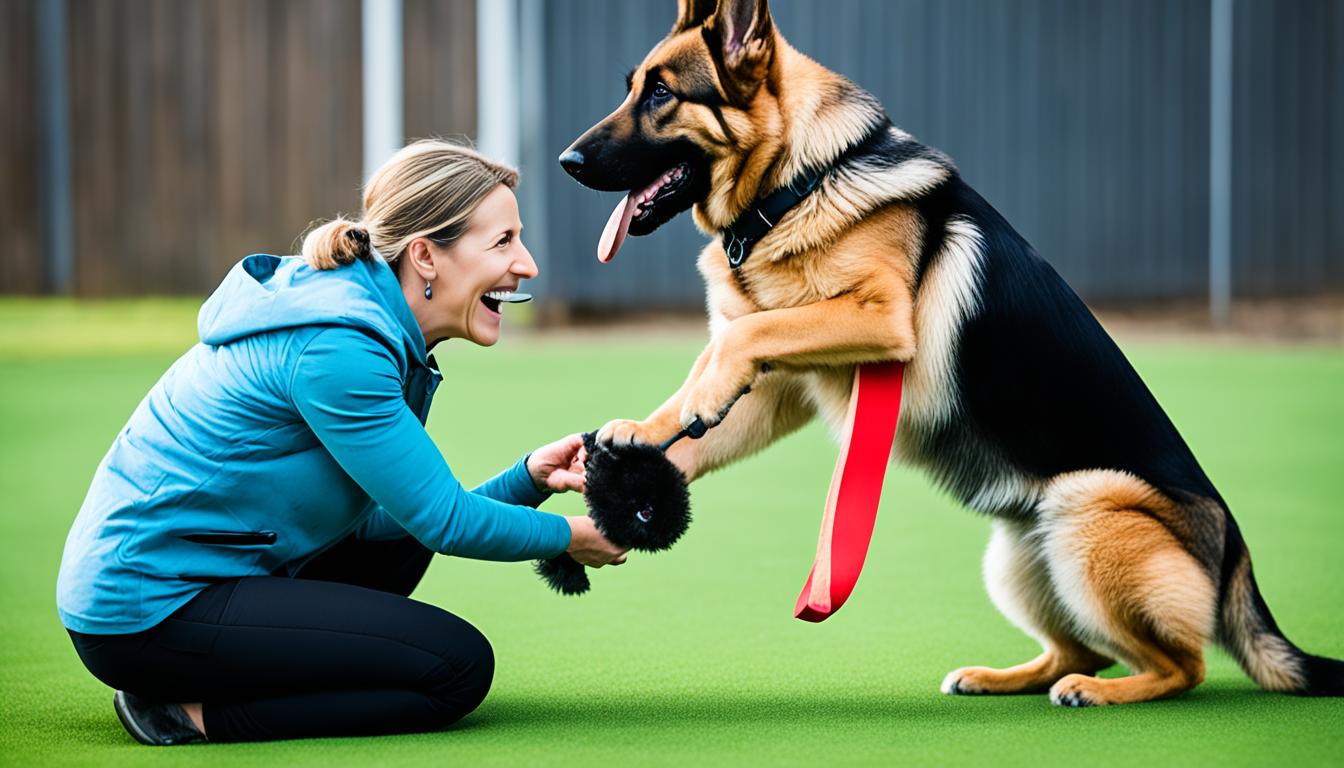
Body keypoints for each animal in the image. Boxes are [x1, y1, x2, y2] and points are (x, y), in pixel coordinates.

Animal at [559, 0, 1344, 704]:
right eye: (633, 86)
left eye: (661, 94)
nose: (566, 160)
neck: (803, 179)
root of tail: (1236, 555)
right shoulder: (788, 384)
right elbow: (712, 390)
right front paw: (642, 444)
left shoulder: (878, 321)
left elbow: (737, 337)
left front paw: (682, 413)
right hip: (1020, 553)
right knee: (1079, 648)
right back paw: (1001, 679)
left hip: (1086, 505)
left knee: (1183, 666)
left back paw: (1102, 692)